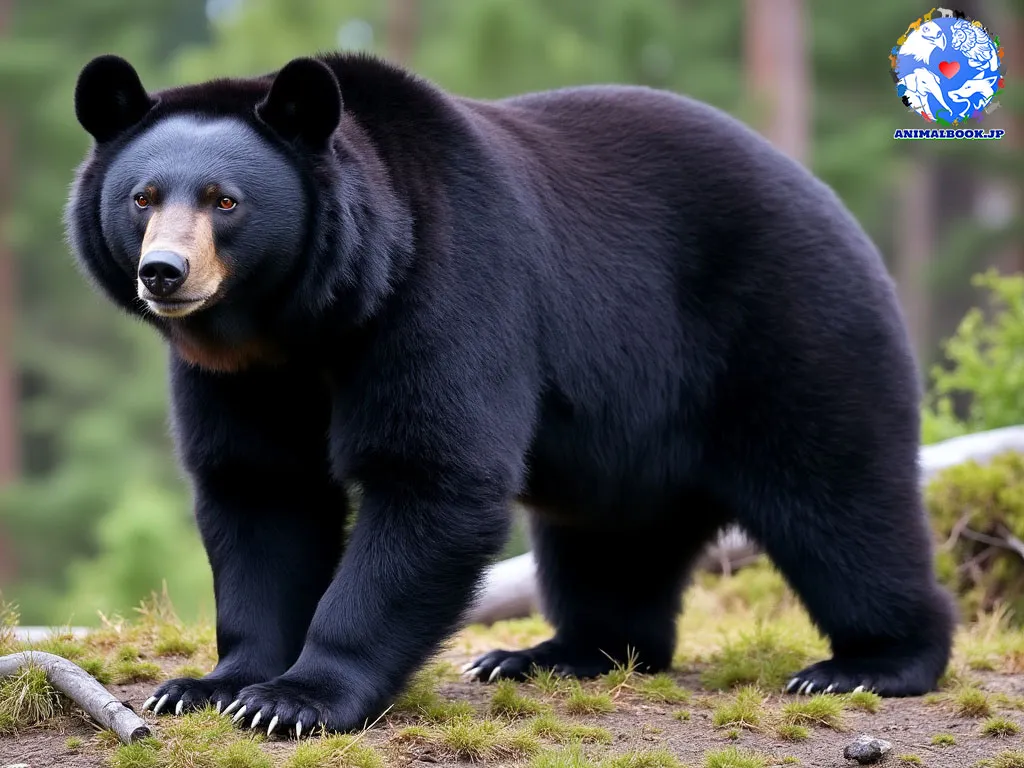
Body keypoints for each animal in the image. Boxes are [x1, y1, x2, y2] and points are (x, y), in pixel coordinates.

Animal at [68, 51, 954, 737]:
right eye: (143, 198)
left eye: (225, 201)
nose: (165, 274)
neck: (306, 318)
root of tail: (833, 204)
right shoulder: (242, 375)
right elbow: (259, 489)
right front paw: (208, 686)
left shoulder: (445, 286)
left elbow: (431, 474)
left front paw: (295, 699)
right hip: (631, 441)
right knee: (608, 542)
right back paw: (551, 654)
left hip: (791, 334)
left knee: (841, 502)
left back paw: (868, 662)